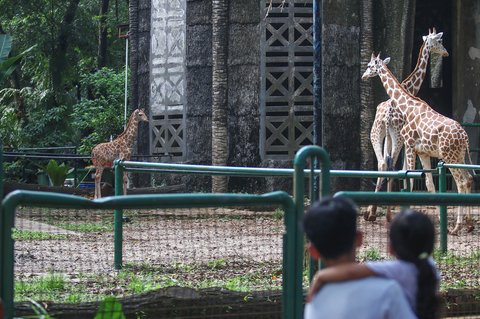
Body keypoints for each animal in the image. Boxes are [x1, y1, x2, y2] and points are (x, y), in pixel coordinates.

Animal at [364, 53, 472, 236]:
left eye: (370, 65)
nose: (363, 76)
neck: (407, 106)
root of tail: (465, 137)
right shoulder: (423, 152)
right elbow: (429, 184)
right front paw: (440, 220)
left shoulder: (408, 144)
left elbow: (410, 179)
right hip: (459, 156)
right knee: (469, 179)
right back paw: (469, 225)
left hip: (449, 156)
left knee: (462, 183)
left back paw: (457, 226)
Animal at [368, 28, 450, 221]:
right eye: (439, 41)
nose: (446, 53)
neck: (408, 88)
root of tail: (387, 115)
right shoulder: (407, 140)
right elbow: (406, 169)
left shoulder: (394, 138)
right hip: (396, 136)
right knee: (389, 164)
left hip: (376, 134)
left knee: (382, 163)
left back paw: (372, 211)